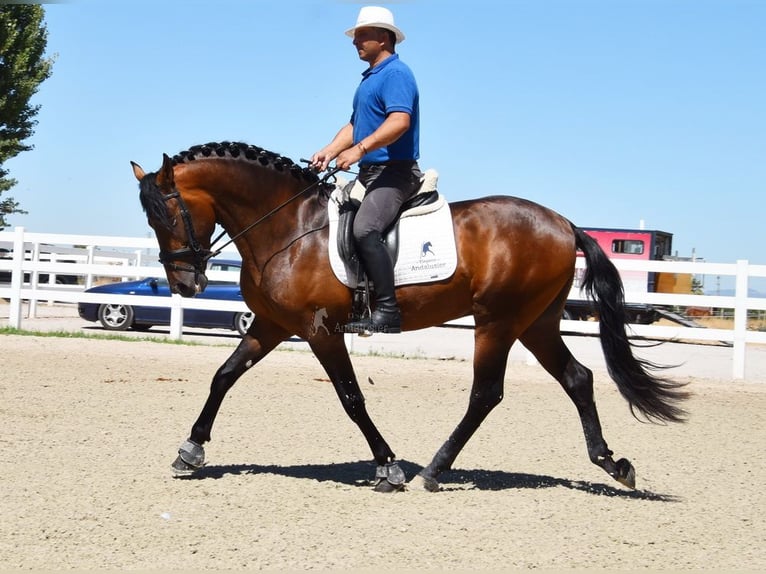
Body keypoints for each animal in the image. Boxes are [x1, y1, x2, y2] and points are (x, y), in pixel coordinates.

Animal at [130, 143, 688, 496]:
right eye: (150, 219)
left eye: (168, 214)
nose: (185, 285)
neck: (287, 227)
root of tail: (565, 223)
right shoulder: (271, 325)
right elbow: (223, 376)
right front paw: (190, 450)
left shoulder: (319, 331)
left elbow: (351, 398)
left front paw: (389, 467)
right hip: (537, 324)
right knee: (578, 378)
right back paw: (612, 463)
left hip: (498, 322)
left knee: (486, 394)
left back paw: (434, 471)